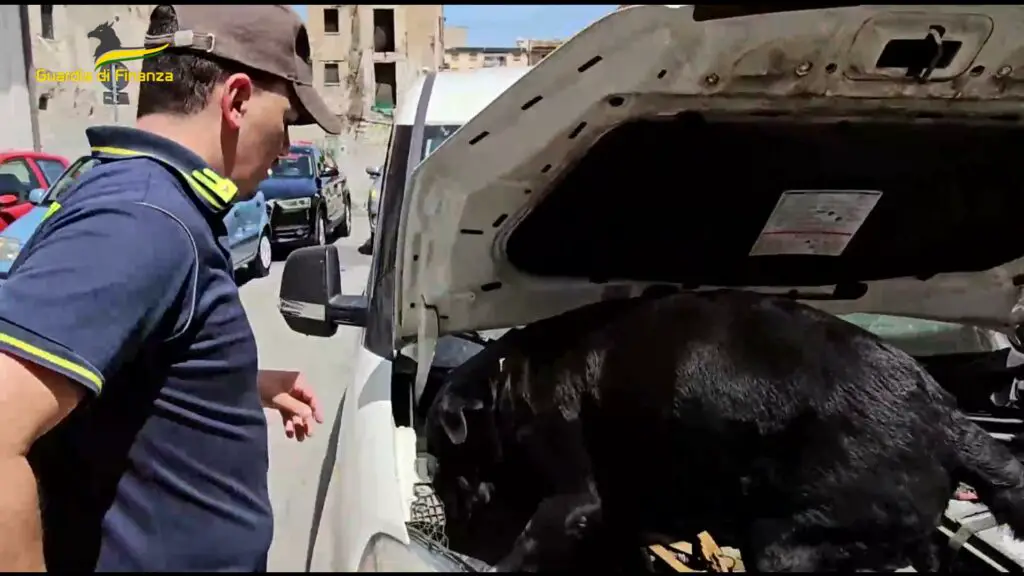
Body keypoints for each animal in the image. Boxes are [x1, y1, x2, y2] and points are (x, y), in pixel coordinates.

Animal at [428, 291, 1024, 569]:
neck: (509, 380)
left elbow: (534, 537)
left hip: (787, 541)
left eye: (441, 466)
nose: (451, 533)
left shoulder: (572, 492)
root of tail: (946, 416)